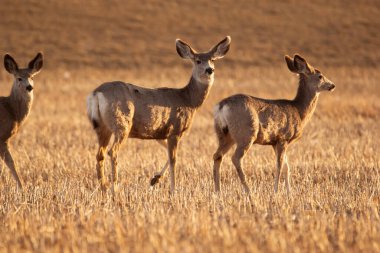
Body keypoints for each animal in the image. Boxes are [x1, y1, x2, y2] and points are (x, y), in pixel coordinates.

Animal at [0, 52, 43, 189]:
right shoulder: (2, 137)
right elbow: (11, 162)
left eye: (32, 77)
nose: (29, 87)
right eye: (19, 78)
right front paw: (22, 188)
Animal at [87, 36, 232, 194]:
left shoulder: (160, 132)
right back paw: (115, 188)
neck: (188, 100)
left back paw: (104, 187)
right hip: (121, 123)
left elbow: (170, 155)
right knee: (112, 151)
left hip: (102, 127)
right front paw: (173, 190)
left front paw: (155, 179)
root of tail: (96, 94)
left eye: (212, 59)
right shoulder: (175, 129)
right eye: (198, 60)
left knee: (100, 154)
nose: (209, 70)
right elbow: (174, 159)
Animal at [214, 54, 336, 195]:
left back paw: (217, 192)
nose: (332, 85)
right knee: (236, 158)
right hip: (246, 133)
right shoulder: (283, 138)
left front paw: (290, 193)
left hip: (225, 135)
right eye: (320, 76)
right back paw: (249, 192)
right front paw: (276, 192)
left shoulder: (275, 142)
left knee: (217, 156)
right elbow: (279, 166)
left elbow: (287, 167)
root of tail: (222, 106)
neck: (299, 111)